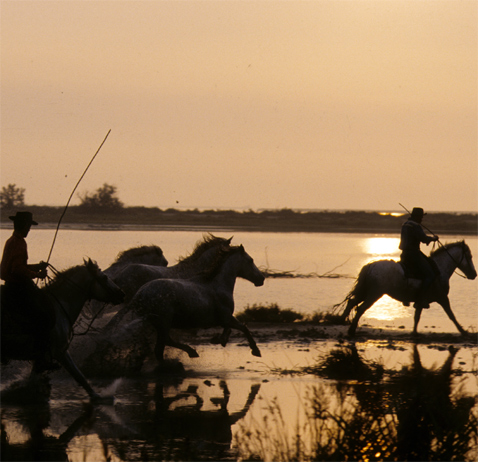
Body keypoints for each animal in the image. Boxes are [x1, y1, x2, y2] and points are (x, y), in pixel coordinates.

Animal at [1, 258, 125, 402]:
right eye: (104, 277)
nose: (121, 294)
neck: (59, 306)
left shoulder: (42, 357)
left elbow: (33, 380)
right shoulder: (59, 352)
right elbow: (79, 375)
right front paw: (98, 396)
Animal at [338, 242, 476, 336]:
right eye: (469, 256)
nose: (474, 274)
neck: (440, 270)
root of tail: (370, 266)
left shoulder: (421, 301)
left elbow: (417, 317)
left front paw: (414, 333)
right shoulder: (442, 298)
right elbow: (451, 315)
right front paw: (463, 331)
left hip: (366, 292)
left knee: (351, 302)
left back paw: (340, 321)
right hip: (374, 294)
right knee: (360, 308)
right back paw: (351, 330)